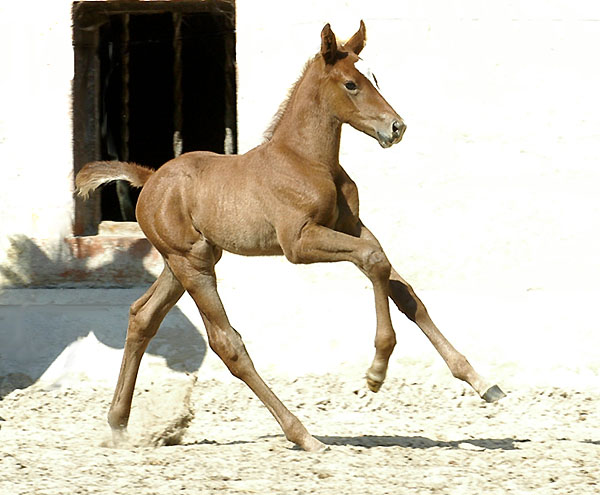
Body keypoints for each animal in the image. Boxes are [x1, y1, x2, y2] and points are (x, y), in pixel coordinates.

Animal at [77, 21, 504, 452]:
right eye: (351, 84)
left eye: (374, 78)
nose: (396, 127)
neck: (306, 161)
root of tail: (150, 178)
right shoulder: (298, 243)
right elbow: (373, 259)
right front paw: (376, 372)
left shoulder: (351, 226)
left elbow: (401, 287)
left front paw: (481, 382)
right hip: (192, 264)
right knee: (226, 342)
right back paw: (303, 434)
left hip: (186, 261)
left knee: (142, 316)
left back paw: (118, 424)